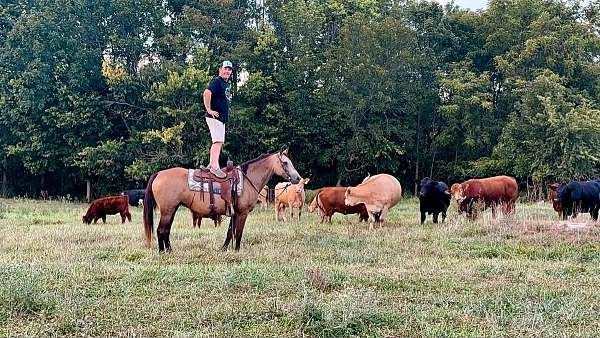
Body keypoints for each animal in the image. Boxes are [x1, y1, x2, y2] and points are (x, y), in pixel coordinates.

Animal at [144, 150, 302, 251]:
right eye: (285, 163)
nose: (297, 178)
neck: (247, 179)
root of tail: (158, 174)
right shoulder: (242, 212)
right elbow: (238, 232)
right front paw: (236, 250)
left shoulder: (234, 212)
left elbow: (230, 231)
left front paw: (224, 248)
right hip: (168, 211)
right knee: (161, 230)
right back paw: (163, 252)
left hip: (171, 210)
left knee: (165, 231)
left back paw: (169, 250)